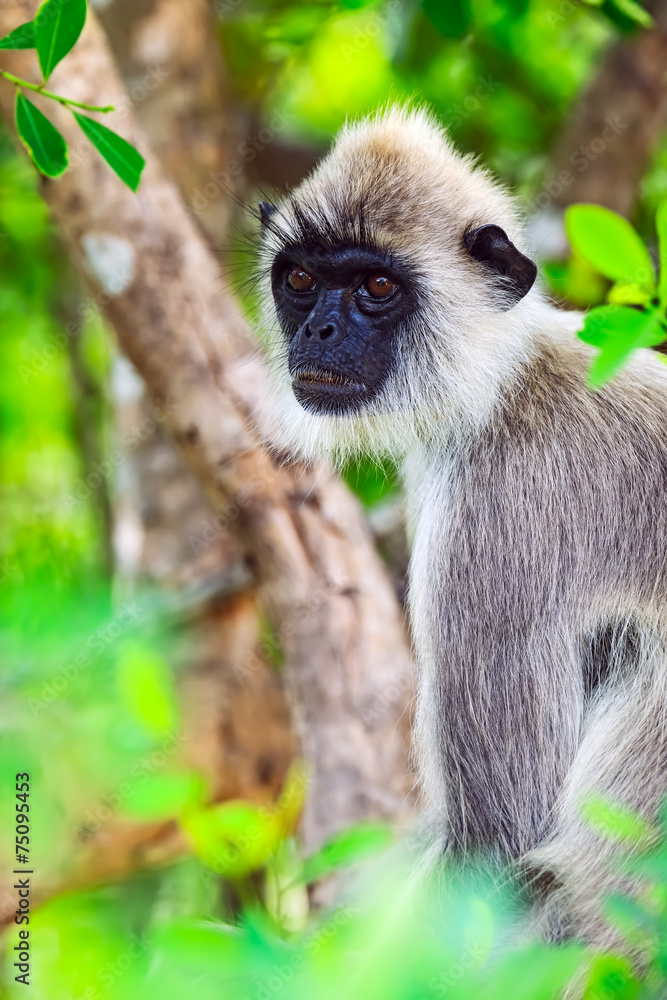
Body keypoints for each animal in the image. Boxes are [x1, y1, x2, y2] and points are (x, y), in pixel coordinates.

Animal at [255, 106, 667, 947]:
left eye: (377, 286)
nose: (317, 334)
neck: (504, 382)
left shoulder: (499, 507)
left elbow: (493, 843)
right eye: (301, 281)